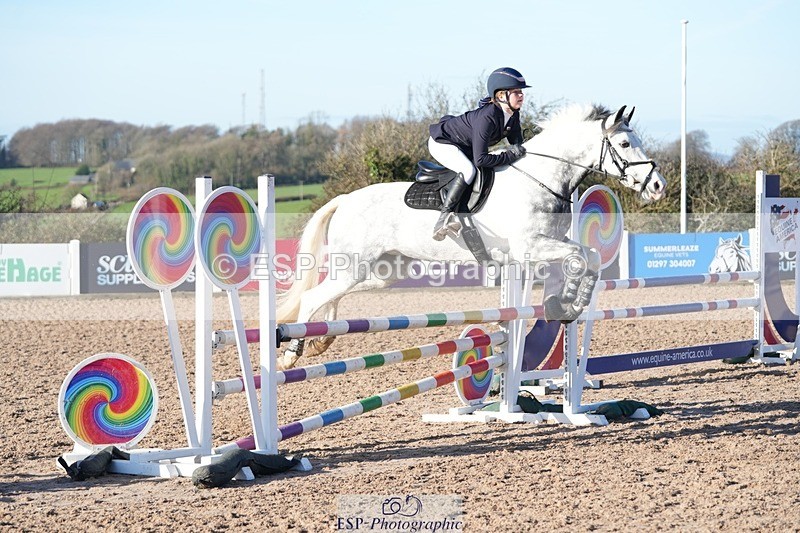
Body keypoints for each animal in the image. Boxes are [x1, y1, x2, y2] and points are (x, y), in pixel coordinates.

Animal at [276, 104, 666, 369]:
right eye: (625, 143)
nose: (658, 186)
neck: (541, 180)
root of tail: (344, 200)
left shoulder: (545, 245)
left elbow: (589, 256)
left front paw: (570, 301)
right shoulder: (530, 247)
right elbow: (580, 257)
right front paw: (568, 299)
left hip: (385, 270)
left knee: (334, 293)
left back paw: (325, 336)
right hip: (356, 265)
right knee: (311, 297)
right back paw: (291, 355)